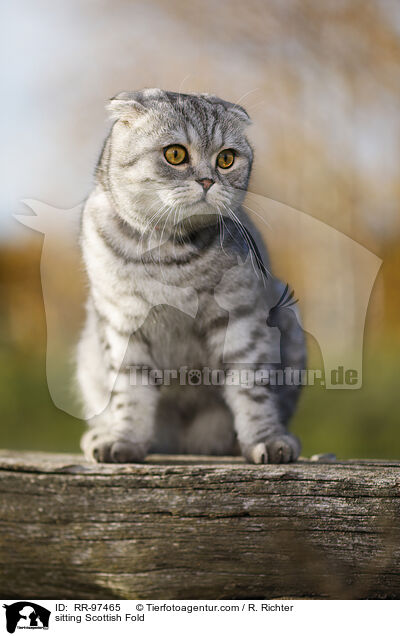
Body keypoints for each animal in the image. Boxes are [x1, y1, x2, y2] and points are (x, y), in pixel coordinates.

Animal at [76, 88, 304, 462]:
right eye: (175, 154)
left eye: (226, 159)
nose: (208, 180)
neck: (170, 255)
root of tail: (184, 444)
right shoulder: (123, 323)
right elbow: (130, 393)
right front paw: (124, 440)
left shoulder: (241, 318)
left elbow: (251, 389)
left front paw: (266, 439)